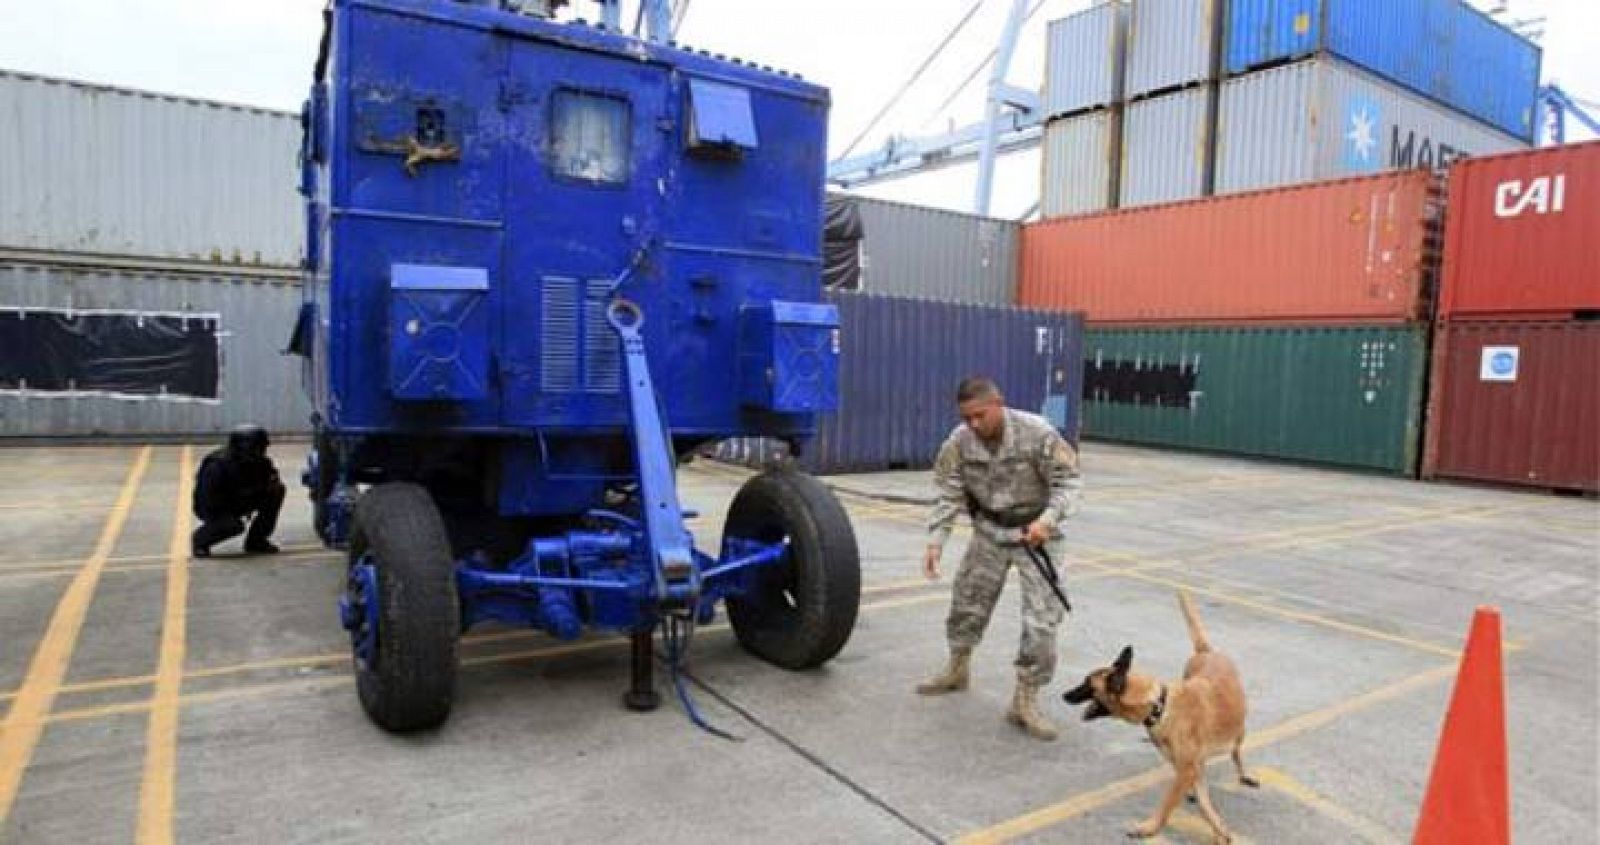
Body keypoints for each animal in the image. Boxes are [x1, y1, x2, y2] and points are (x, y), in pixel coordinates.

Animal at [1062, 592, 1260, 838]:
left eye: (1087, 684)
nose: (1063, 695)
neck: (1159, 706)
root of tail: (1206, 651)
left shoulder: (1186, 769)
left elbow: (1168, 803)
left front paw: (1150, 827)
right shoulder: (1186, 767)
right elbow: (1204, 804)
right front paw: (1219, 828)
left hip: (1238, 732)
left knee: (1236, 752)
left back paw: (1244, 774)